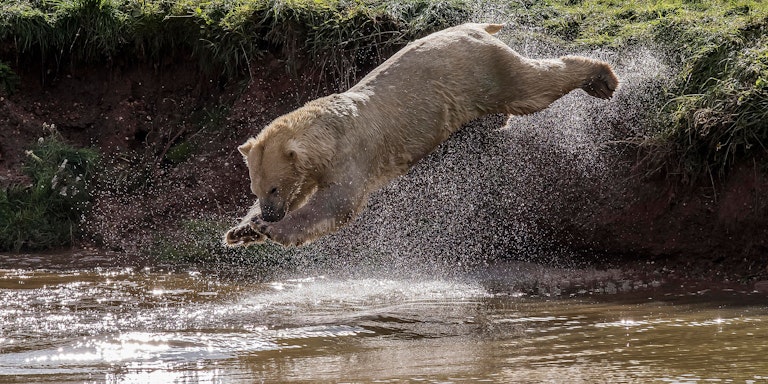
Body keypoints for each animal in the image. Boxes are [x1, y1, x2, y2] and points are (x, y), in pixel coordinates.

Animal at [222, 22, 616, 248]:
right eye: (256, 189)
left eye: (273, 188)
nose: (271, 213)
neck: (330, 129)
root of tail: (474, 26)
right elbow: (307, 192)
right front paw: (242, 229)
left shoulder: (350, 155)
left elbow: (337, 204)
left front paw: (273, 231)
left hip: (480, 71)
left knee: (531, 84)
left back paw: (602, 78)